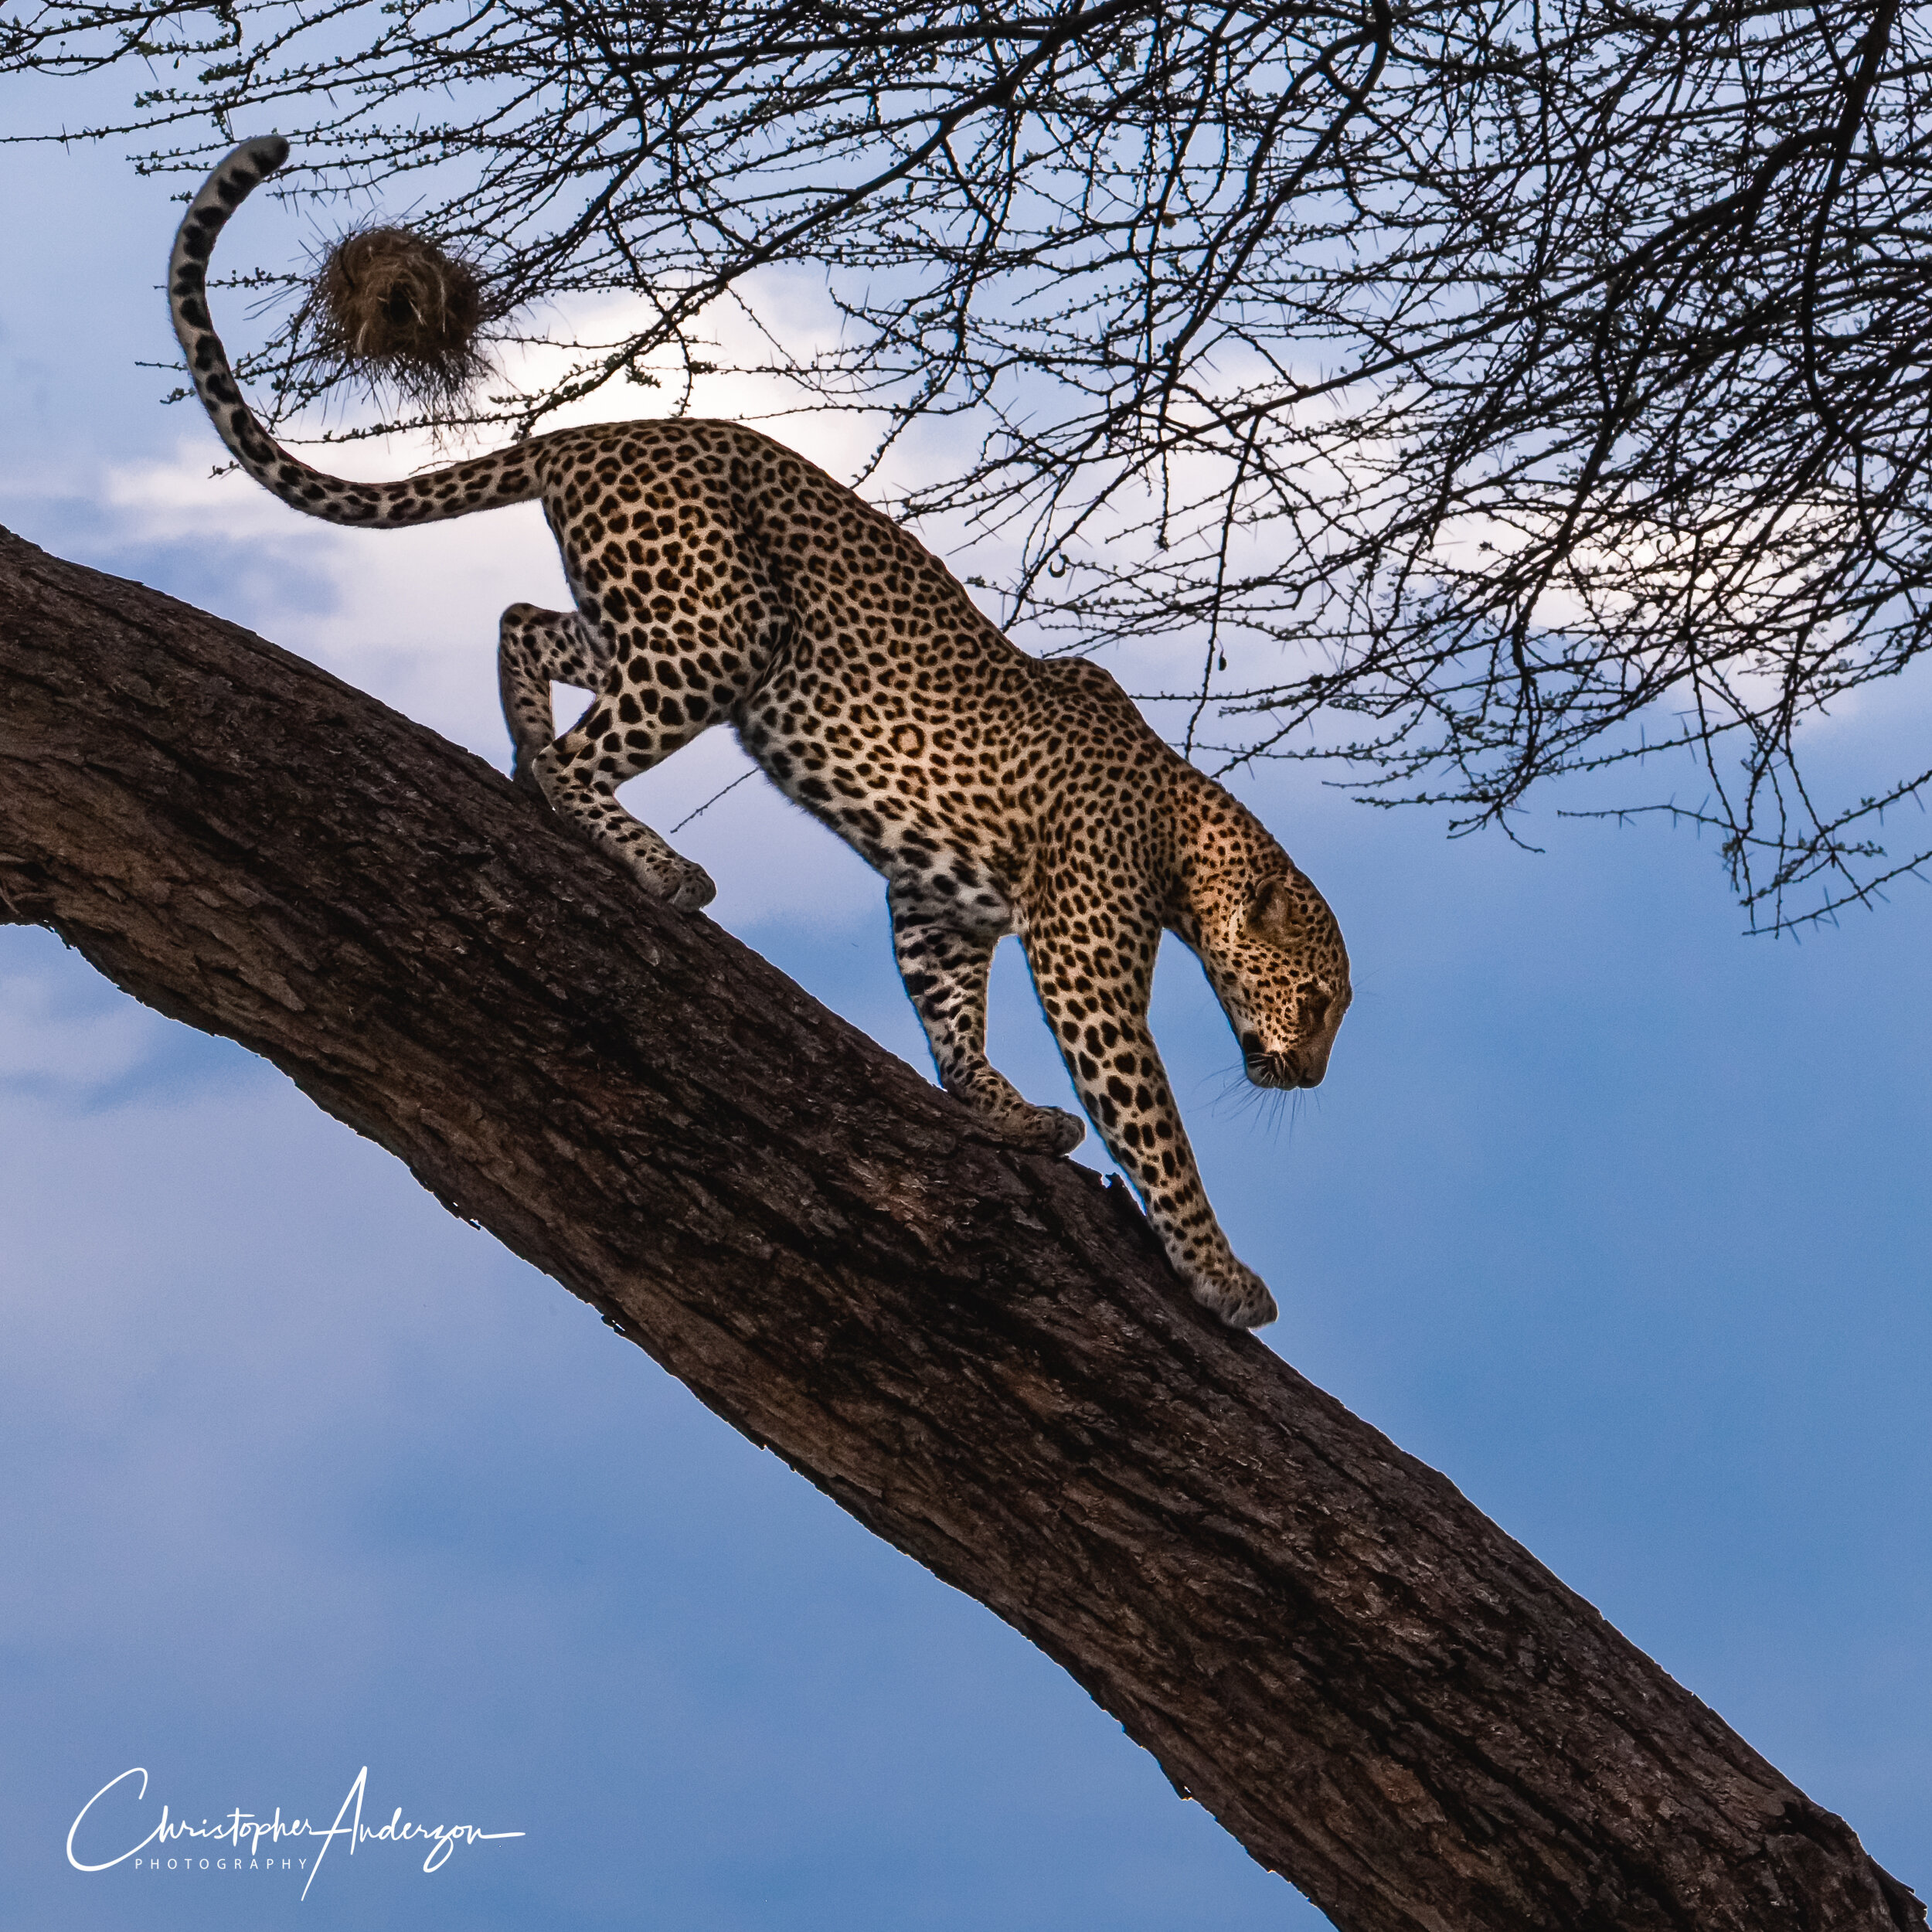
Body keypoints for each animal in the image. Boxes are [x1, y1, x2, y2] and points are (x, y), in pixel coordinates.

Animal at [168, 135, 1351, 1330]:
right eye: (1316, 1000)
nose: (1312, 1077)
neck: (1184, 843)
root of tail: (589, 434)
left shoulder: (942, 907)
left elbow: (949, 1012)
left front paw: (1000, 1110)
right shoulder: (1084, 962)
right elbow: (1153, 1125)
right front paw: (1218, 1272)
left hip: (660, 616)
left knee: (522, 623)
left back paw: (519, 753)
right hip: (720, 629)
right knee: (578, 756)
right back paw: (643, 852)